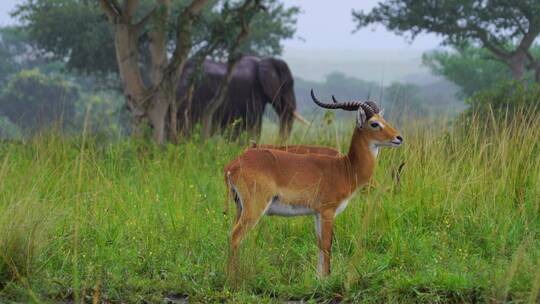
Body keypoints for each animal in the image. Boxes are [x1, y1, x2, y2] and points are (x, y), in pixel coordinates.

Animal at [221, 89, 402, 276]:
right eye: (374, 123)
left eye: (384, 120)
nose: (399, 138)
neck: (346, 168)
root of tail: (233, 164)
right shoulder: (328, 211)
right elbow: (328, 245)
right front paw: (327, 277)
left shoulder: (317, 213)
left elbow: (320, 244)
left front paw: (318, 277)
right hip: (255, 208)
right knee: (235, 236)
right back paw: (233, 278)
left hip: (239, 207)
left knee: (230, 235)